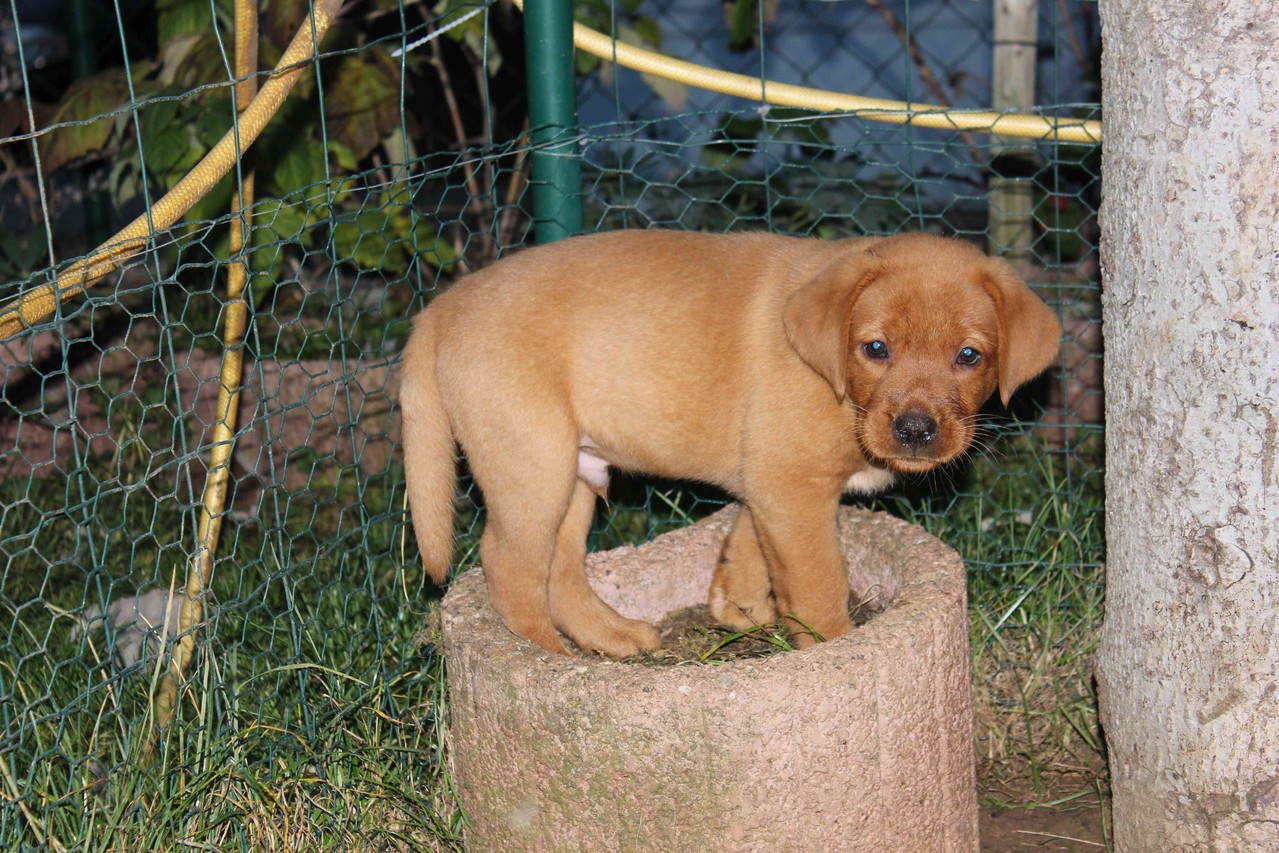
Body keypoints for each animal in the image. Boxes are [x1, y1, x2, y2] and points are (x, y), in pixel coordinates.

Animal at [401, 230, 1059, 659]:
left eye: (969, 356)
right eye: (876, 348)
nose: (917, 431)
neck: (838, 386)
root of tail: (439, 309)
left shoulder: (768, 484)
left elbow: (747, 542)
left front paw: (737, 607)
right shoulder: (792, 489)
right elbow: (819, 582)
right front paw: (835, 647)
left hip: (575, 474)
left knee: (558, 573)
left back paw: (613, 637)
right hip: (532, 467)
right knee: (508, 569)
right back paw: (552, 660)